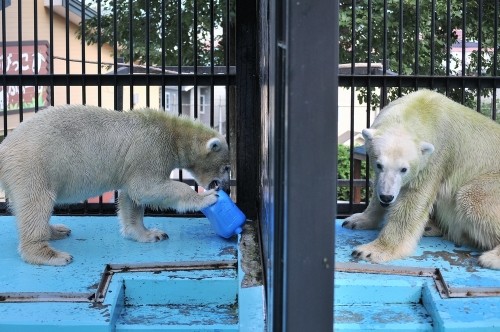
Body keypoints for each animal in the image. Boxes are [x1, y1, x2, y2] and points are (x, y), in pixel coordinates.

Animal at [0, 105, 230, 266]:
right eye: (226, 167)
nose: (225, 186)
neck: (173, 133)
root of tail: (4, 147)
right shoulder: (150, 148)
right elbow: (146, 187)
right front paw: (206, 198)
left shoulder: (133, 163)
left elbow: (132, 197)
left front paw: (150, 234)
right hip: (33, 166)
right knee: (37, 203)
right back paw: (51, 254)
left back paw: (57, 230)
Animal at [342, 89, 500, 270]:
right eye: (379, 164)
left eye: (404, 169)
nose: (387, 197)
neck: (421, 109)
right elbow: (377, 190)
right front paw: (357, 220)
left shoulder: (435, 159)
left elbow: (412, 200)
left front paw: (370, 251)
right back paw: (431, 227)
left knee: (473, 198)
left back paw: (491, 257)